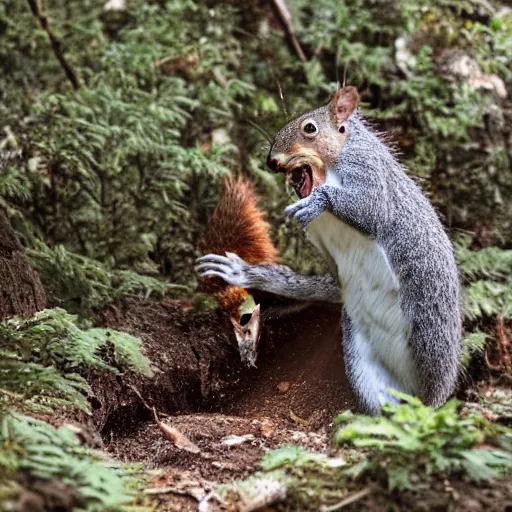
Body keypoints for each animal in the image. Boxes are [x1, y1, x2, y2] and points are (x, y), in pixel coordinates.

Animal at [196, 86, 460, 414]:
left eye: (310, 128)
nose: (271, 161)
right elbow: (331, 283)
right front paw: (246, 273)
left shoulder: (368, 170)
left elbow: (372, 211)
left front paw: (319, 200)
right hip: (363, 362)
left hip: (429, 337)